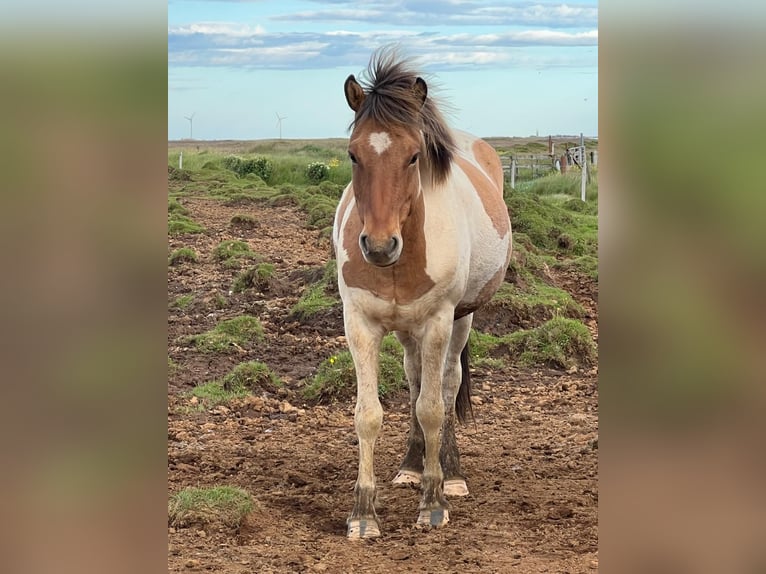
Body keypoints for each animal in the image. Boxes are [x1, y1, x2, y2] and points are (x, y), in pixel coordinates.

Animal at [332, 47, 513, 539]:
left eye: (414, 156)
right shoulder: (360, 325)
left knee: (446, 386)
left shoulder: (436, 322)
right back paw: (412, 466)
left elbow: (432, 407)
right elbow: (368, 414)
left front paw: (432, 503)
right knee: (415, 379)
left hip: (460, 319)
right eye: (353, 154)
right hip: (405, 328)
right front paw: (363, 514)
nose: (379, 246)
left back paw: (450, 474)